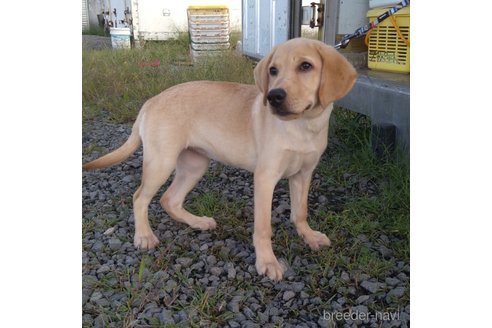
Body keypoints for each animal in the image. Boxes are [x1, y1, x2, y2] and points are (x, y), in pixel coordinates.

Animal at [82, 37, 356, 280]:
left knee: (169, 199)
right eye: (273, 70)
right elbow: (263, 227)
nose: (274, 96)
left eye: (306, 66)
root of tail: (151, 101)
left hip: (194, 164)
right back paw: (144, 236)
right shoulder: (265, 177)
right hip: (161, 162)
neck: (302, 126)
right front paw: (267, 262)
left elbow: (300, 212)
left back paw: (198, 222)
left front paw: (309, 236)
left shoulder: (303, 174)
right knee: (140, 197)